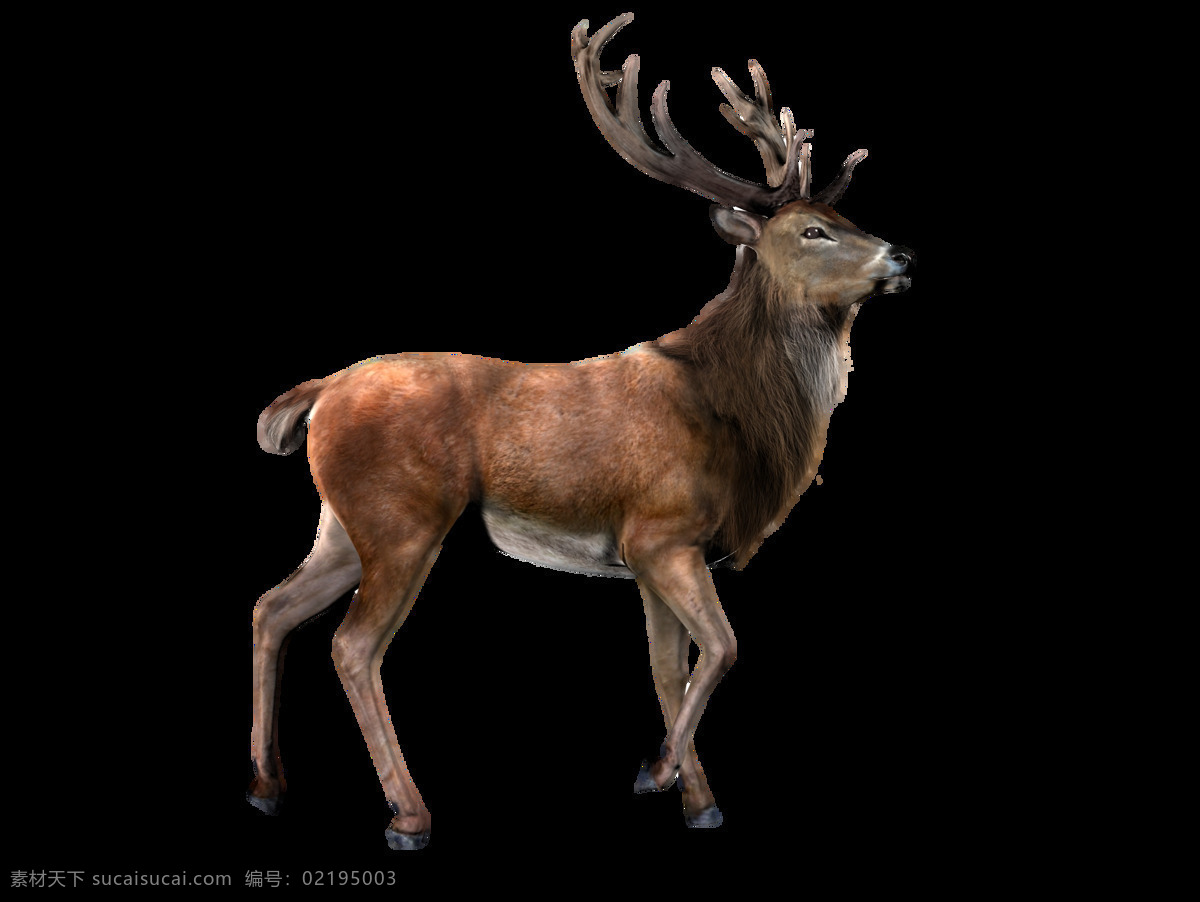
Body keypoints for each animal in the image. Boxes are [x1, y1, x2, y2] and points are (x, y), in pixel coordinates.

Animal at [247, 12, 912, 851]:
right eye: (814, 230)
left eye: (850, 218)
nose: (903, 256)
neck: (737, 420)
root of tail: (320, 393)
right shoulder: (661, 530)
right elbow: (723, 648)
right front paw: (657, 773)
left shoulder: (652, 555)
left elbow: (670, 668)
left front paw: (696, 799)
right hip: (403, 518)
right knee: (353, 645)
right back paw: (409, 814)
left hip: (342, 522)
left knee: (272, 607)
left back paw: (266, 786)